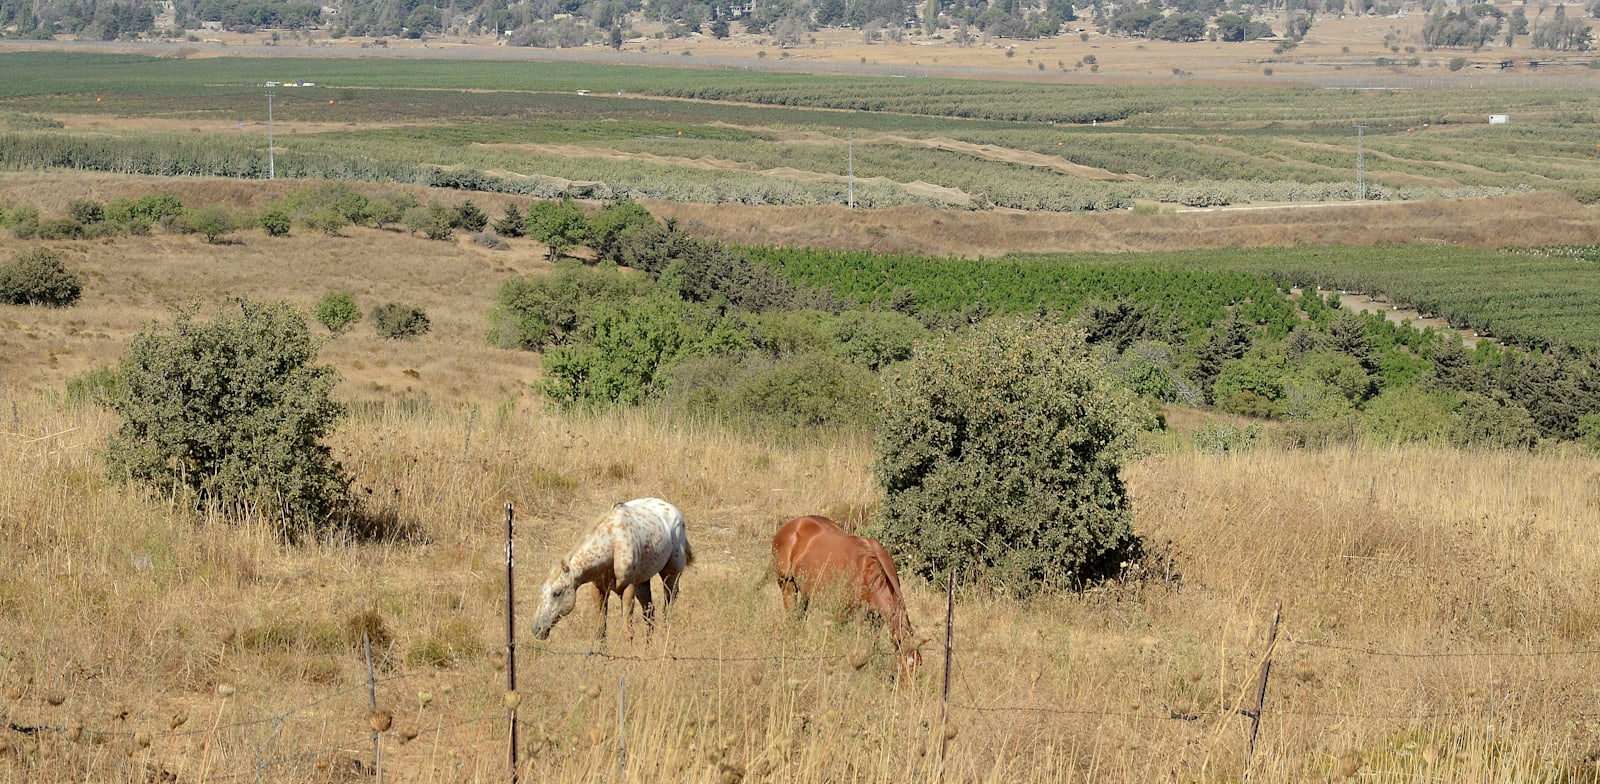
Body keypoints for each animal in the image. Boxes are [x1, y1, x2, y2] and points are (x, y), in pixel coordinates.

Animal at [774, 515, 928, 678]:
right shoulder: (841, 615)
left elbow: (873, 644)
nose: (907, 685)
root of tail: (792, 525)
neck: (867, 572)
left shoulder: (876, 620)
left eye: (918, 665)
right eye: (902, 666)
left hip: (805, 594)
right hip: (787, 586)